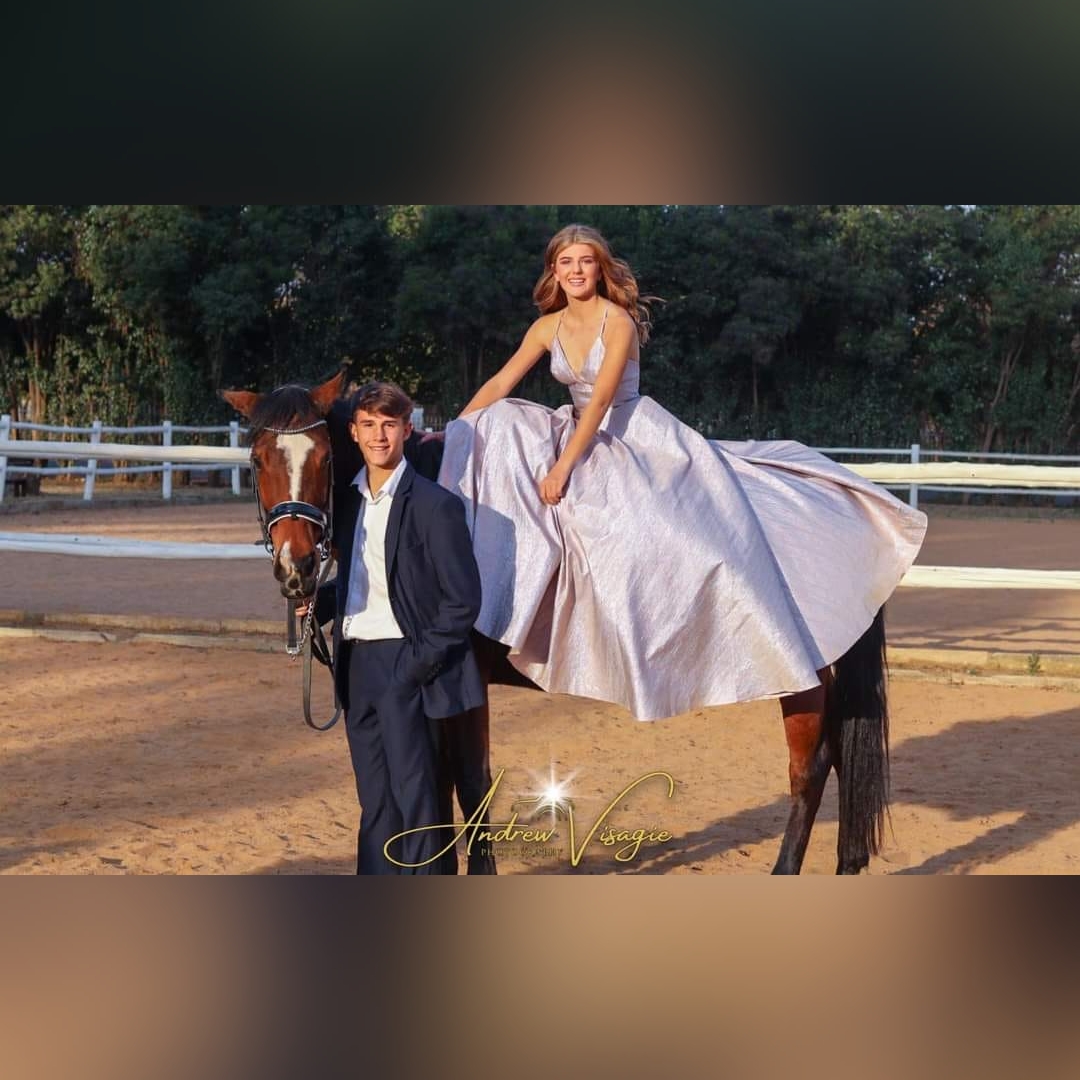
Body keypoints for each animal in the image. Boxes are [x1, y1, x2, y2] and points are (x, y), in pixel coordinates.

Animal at [223, 370, 890, 875]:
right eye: (257, 459)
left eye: (324, 457)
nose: (296, 569)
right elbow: (445, 783)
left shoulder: (461, 682)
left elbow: (470, 782)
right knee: (835, 758)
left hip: (805, 681)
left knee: (809, 770)